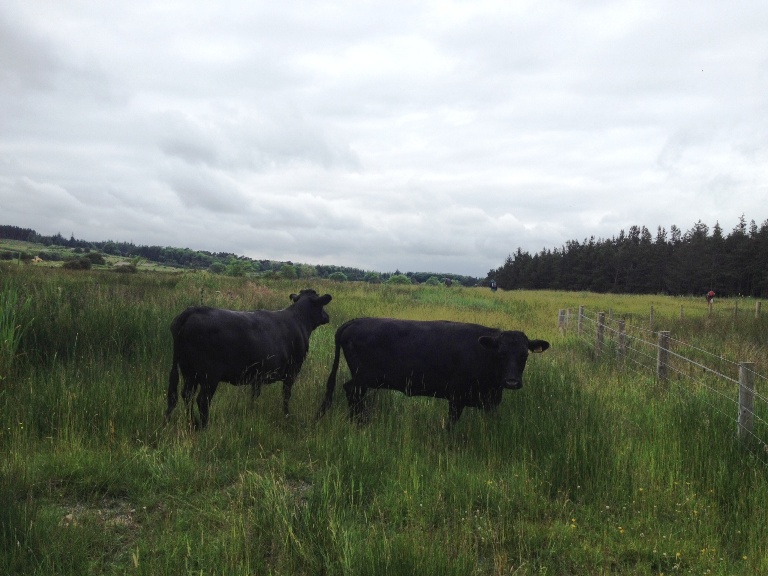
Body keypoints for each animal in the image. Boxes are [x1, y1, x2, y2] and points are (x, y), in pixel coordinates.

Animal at [166, 289, 332, 429]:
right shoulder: (292, 371)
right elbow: (286, 395)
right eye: (321, 305)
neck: (299, 320)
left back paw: (192, 422)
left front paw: (252, 411)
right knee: (202, 399)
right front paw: (286, 416)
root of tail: (191, 310)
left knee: (186, 395)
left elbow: (254, 395)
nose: (327, 316)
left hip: (189, 371)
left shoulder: (258, 374)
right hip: (209, 375)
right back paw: (204, 426)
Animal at [317, 318, 549, 426]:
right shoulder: (456, 396)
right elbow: (451, 424)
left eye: (524, 355)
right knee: (351, 391)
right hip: (363, 377)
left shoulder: (490, 402)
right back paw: (359, 422)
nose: (512, 382)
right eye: (500, 354)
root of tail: (355, 321)